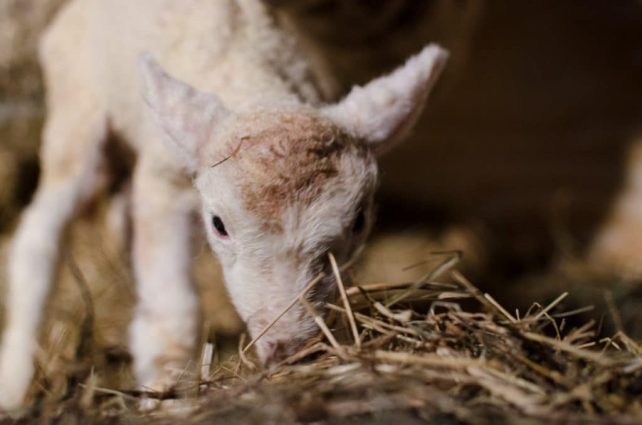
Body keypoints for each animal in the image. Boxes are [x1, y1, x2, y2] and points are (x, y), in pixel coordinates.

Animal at [0, 0, 448, 410]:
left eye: (358, 222)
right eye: (219, 225)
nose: (289, 352)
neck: (253, 83)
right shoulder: (162, 185)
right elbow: (174, 311)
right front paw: (166, 392)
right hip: (77, 110)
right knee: (40, 236)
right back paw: (16, 380)